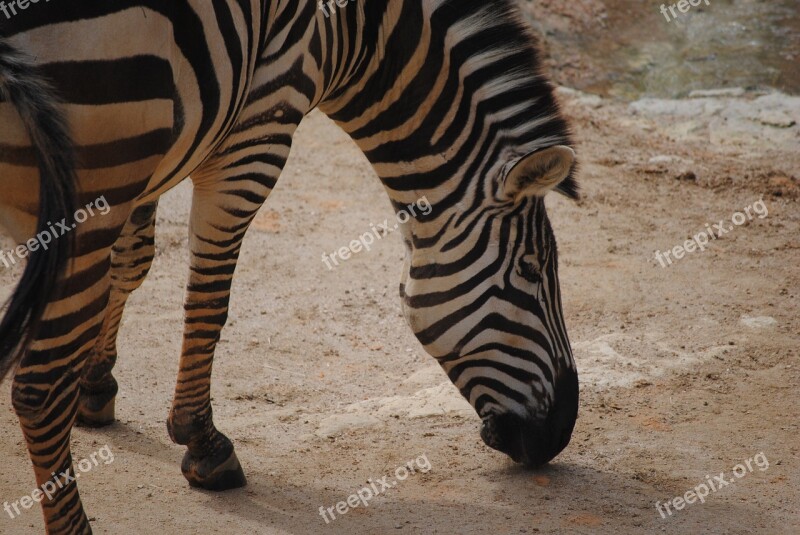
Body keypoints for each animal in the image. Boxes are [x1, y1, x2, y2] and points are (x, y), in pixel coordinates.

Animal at [0, 2, 576, 532]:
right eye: (529, 270)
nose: (561, 430)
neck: (352, 31)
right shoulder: (256, 134)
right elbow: (210, 302)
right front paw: (203, 443)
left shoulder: (158, 147)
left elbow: (132, 262)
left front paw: (96, 387)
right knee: (36, 388)